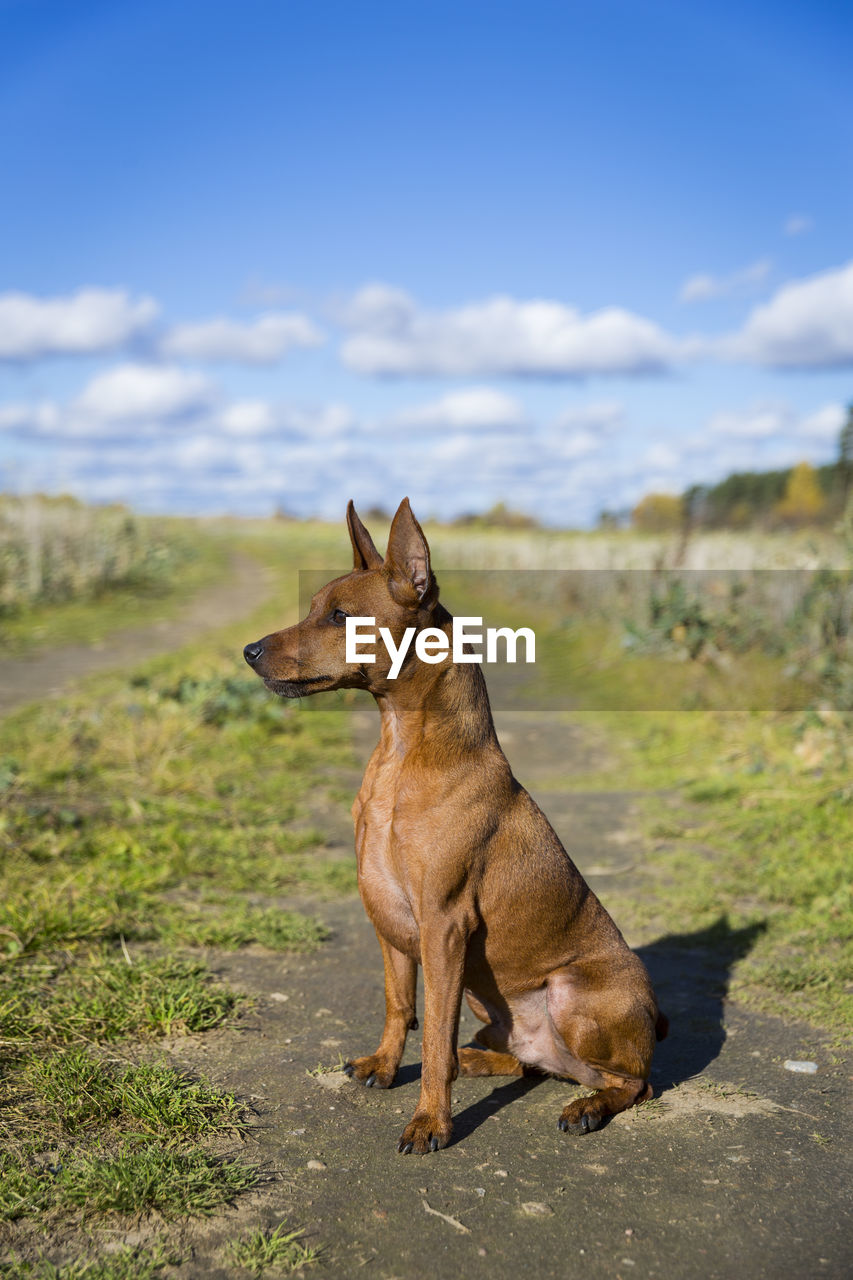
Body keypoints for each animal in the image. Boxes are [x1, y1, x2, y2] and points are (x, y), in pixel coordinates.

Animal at [240, 496, 666, 1152]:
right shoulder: (389, 916)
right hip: (489, 998)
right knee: (527, 1062)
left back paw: (588, 1106)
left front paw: (429, 1121)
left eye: (340, 616)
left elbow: (435, 1032)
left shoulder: (443, 925)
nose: (250, 651)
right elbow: (400, 1005)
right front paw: (386, 1067)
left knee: (634, 1081)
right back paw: (481, 1060)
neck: (402, 752)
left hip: (572, 996)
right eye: (313, 607)